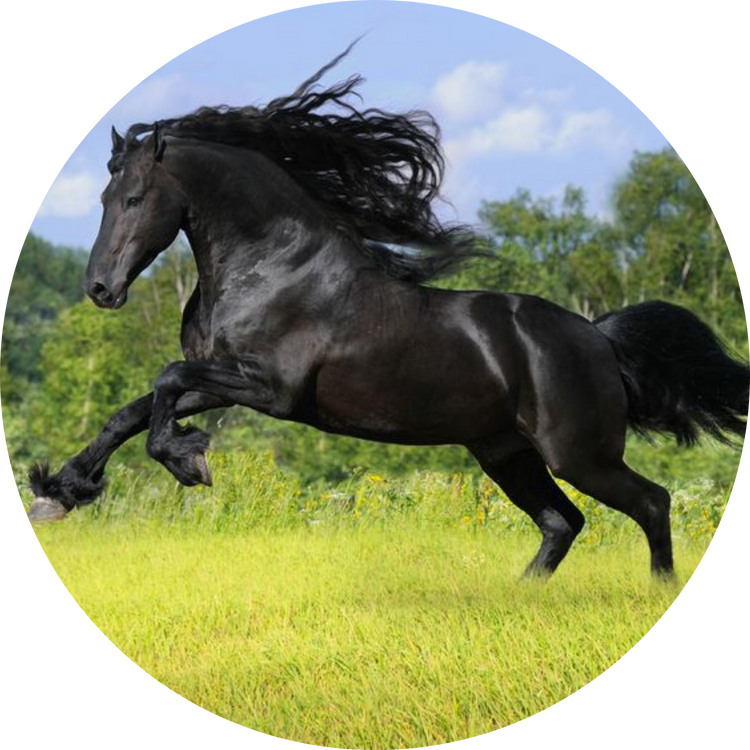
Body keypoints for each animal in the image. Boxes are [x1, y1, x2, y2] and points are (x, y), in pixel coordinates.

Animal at [26, 45, 749, 579]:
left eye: (135, 197)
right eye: (102, 196)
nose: (100, 288)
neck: (274, 266)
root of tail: (597, 338)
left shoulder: (272, 390)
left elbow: (165, 384)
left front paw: (188, 460)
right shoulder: (228, 379)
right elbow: (135, 407)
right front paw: (60, 491)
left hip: (579, 453)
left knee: (650, 504)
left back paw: (656, 590)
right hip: (506, 452)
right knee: (561, 523)